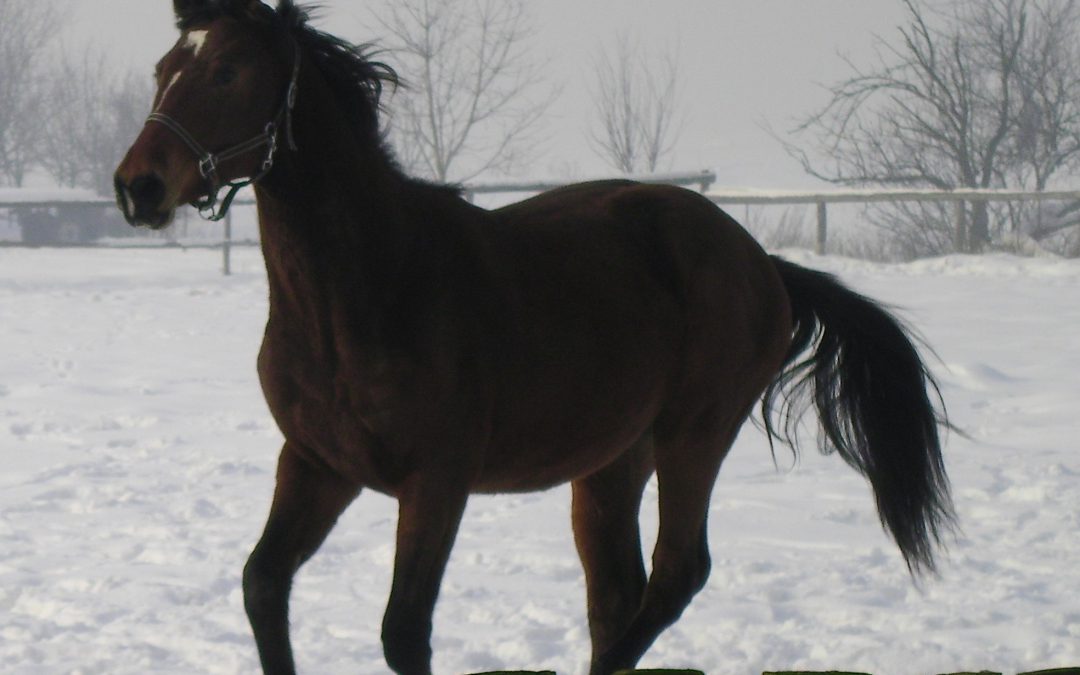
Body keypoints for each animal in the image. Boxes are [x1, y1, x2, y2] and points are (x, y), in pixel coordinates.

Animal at [111, 2, 954, 669]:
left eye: (227, 71)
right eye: (163, 69)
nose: (136, 186)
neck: (363, 294)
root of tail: (763, 264)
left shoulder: (436, 479)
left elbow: (403, 631)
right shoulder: (318, 463)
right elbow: (263, 585)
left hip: (696, 434)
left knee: (676, 575)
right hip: (613, 460)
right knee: (618, 594)